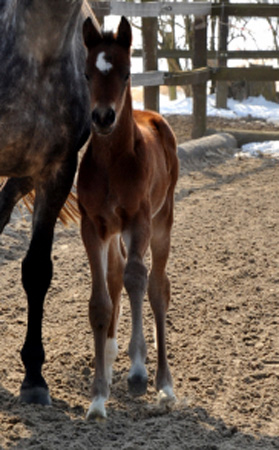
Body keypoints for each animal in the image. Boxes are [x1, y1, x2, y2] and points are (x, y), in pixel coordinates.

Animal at [77, 16, 179, 418]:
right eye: (88, 73)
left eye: (125, 74)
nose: (103, 117)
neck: (111, 164)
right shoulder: (94, 226)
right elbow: (101, 300)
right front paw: (97, 397)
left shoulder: (139, 220)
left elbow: (138, 279)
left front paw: (138, 374)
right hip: (117, 232)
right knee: (117, 274)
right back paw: (109, 357)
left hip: (162, 221)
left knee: (157, 287)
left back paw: (164, 383)